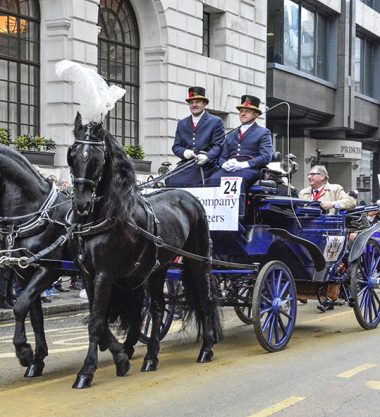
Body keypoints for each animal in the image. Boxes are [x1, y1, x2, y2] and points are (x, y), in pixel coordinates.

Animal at [68, 112, 223, 388]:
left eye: (96, 158)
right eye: (72, 154)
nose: (81, 204)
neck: (107, 215)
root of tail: (191, 197)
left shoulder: (105, 274)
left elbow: (97, 322)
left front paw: (87, 371)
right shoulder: (88, 275)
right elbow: (100, 320)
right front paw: (121, 357)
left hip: (198, 261)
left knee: (205, 300)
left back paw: (206, 349)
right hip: (157, 269)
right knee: (158, 308)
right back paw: (151, 356)